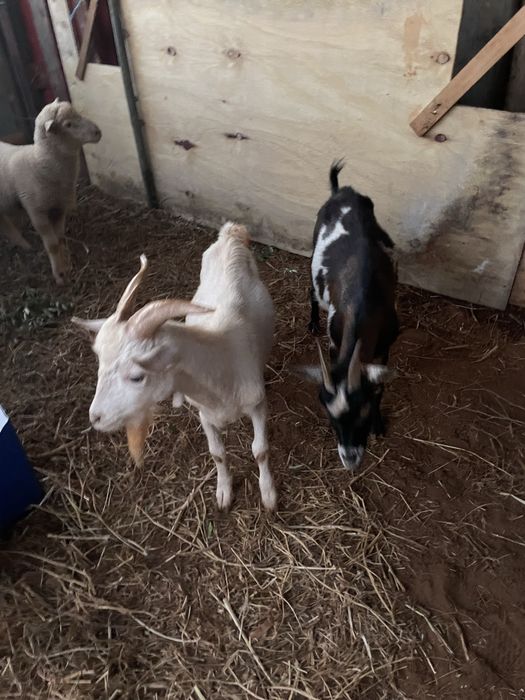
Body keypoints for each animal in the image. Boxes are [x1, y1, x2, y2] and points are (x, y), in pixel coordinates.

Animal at [0, 99, 101, 284]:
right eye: (68, 124)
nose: (97, 132)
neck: (39, 161)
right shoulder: (36, 211)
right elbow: (52, 245)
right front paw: (59, 275)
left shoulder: (59, 207)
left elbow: (60, 239)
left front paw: (66, 267)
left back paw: (25, 246)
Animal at [73, 222, 277, 511]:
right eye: (100, 363)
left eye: (137, 377)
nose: (95, 418)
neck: (221, 360)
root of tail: (229, 234)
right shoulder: (204, 412)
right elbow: (217, 453)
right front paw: (223, 492)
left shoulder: (257, 405)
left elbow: (260, 450)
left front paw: (268, 494)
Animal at [307, 161, 398, 470]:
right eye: (331, 418)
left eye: (364, 414)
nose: (349, 459)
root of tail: (341, 191)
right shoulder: (335, 345)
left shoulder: (385, 345)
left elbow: (381, 386)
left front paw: (379, 426)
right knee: (310, 290)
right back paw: (312, 322)